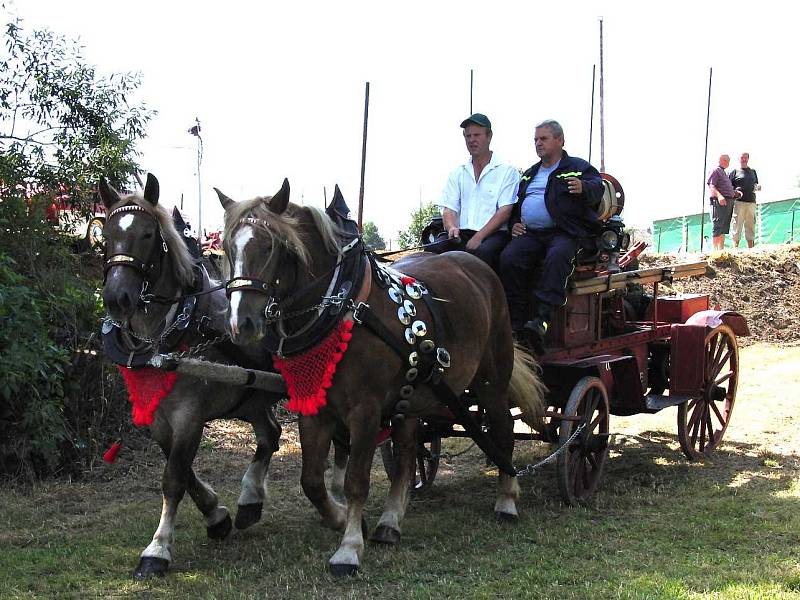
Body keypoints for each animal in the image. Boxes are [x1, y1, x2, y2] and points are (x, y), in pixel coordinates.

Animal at [101, 173, 284, 576]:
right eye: (106, 233)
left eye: (148, 234)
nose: (117, 297)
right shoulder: (159, 418)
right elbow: (182, 472)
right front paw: (217, 516)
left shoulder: (189, 415)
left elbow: (173, 478)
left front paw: (157, 549)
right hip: (250, 398)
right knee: (270, 435)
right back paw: (250, 502)